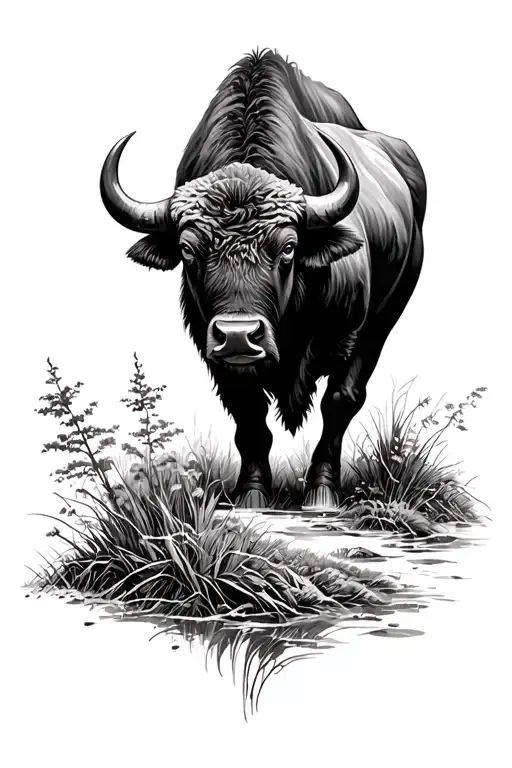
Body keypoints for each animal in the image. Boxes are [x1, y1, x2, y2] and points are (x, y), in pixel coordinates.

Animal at [100, 49, 426, 510]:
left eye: (288, 247)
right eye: (187, 249)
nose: (239, 336)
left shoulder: (353, 333)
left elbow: (340, 400)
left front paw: (321, 491)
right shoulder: (214, 349)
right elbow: (249, 414)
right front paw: (252, 493)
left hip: (387, 315)